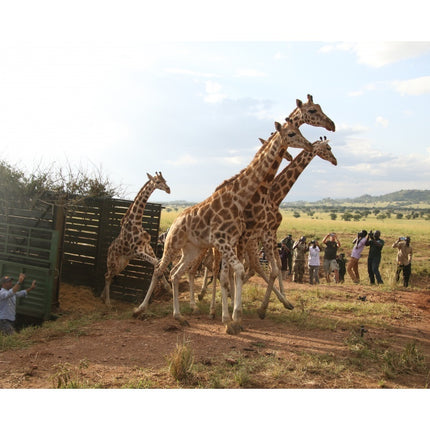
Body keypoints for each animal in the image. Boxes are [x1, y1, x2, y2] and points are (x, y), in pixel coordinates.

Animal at [101, 171, 170, 306]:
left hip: (122, 264)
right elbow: (157, 262)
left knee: (109, 276)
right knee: (106, 276)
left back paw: (102, 297)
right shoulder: (137, 251)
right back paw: (108, 302)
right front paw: (167, 285)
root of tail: (108, 251)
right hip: (113, 263)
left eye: (165, 180)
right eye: (158, 181)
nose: (168, 189)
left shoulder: (147, 247)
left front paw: (167, 286)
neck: (136, 222)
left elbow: (157, 262)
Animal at [132, 119, 312, 334]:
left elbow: (228, 276)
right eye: (292, 133)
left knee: (175, 274)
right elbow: (237, 271)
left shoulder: (229, 242)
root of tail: (174, 221)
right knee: (159, 269)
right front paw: (234, 318)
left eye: (300, 130)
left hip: (192, 250)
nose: (309, 145)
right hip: (172, 244)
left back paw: (180, 317)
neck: (239, 198)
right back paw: (140, 309)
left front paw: (229, 319)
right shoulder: (222, 241)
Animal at [255, 138, 340, 320]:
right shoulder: (266, 233)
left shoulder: (271, 233)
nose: (335, 160)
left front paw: (286, 301)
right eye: (328, 147)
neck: (275, 196)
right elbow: (272, 268)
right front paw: (264, 308)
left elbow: (277, 266)